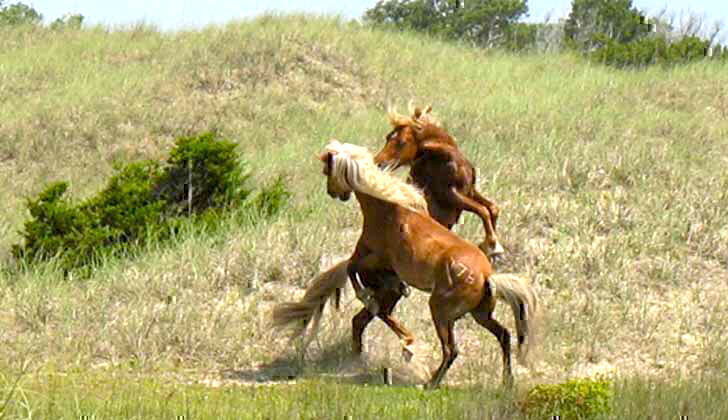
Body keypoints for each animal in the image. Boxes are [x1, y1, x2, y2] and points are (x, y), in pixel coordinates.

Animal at [320, 140, 540, 388]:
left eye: (327, 170)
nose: (333, 193)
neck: (389, 211)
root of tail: (487, 276)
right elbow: (355, 274)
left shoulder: (376, 260)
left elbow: (352, 269)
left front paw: (367, 298)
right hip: (479, 314)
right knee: (503, 335)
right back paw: (506, 381)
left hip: (441, 311)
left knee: (451, 350)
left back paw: (429, 381)